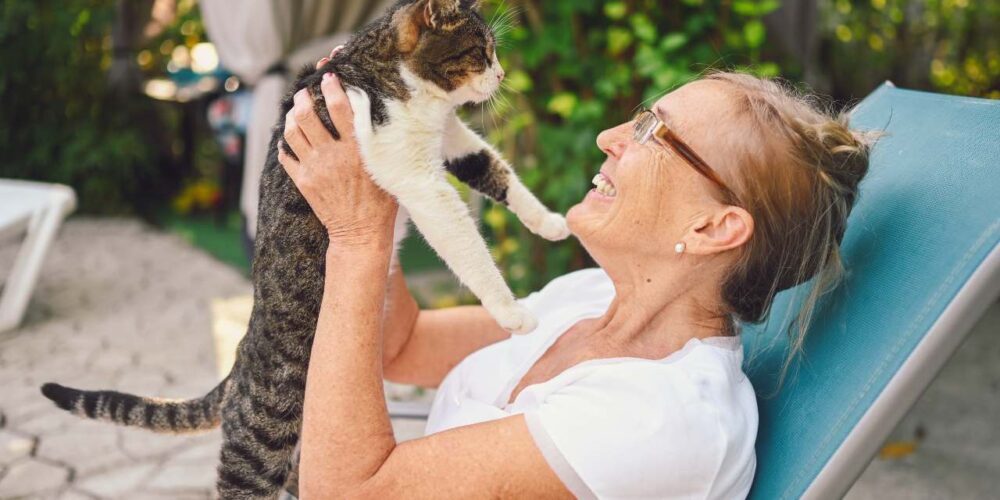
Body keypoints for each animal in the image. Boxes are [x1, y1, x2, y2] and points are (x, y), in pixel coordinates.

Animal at [39, 1, 572, 498]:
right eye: (482, 51)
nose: (501, 75)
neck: (396, 79)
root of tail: (243, 352)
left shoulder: (452, 140)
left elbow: (496, 171)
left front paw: (552, 222)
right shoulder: (418, 179)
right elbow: (466, 244)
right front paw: (512, 312)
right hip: (263, 434)